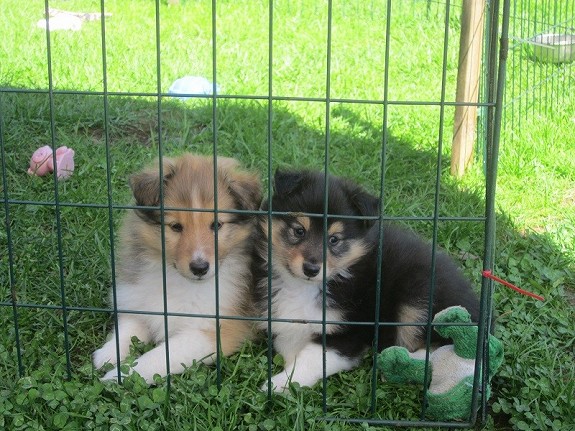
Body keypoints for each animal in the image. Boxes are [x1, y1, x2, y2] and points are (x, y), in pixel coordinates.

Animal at [93, 154, 262, 384]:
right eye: (175, 226)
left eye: (216, 225)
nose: (199, 268)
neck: (176, 279)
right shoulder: (140, 302)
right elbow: (128, 328)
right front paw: (106, 354)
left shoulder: (214, 329)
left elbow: (158, 356)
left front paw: (119, 375)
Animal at [254, 170, 484, 394]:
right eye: (299, 230)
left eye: (334, 239)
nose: (311, 269)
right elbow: (289, 344)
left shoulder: (348, 333)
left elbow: (311, 359)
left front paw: (278, 384)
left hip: (419, 296)